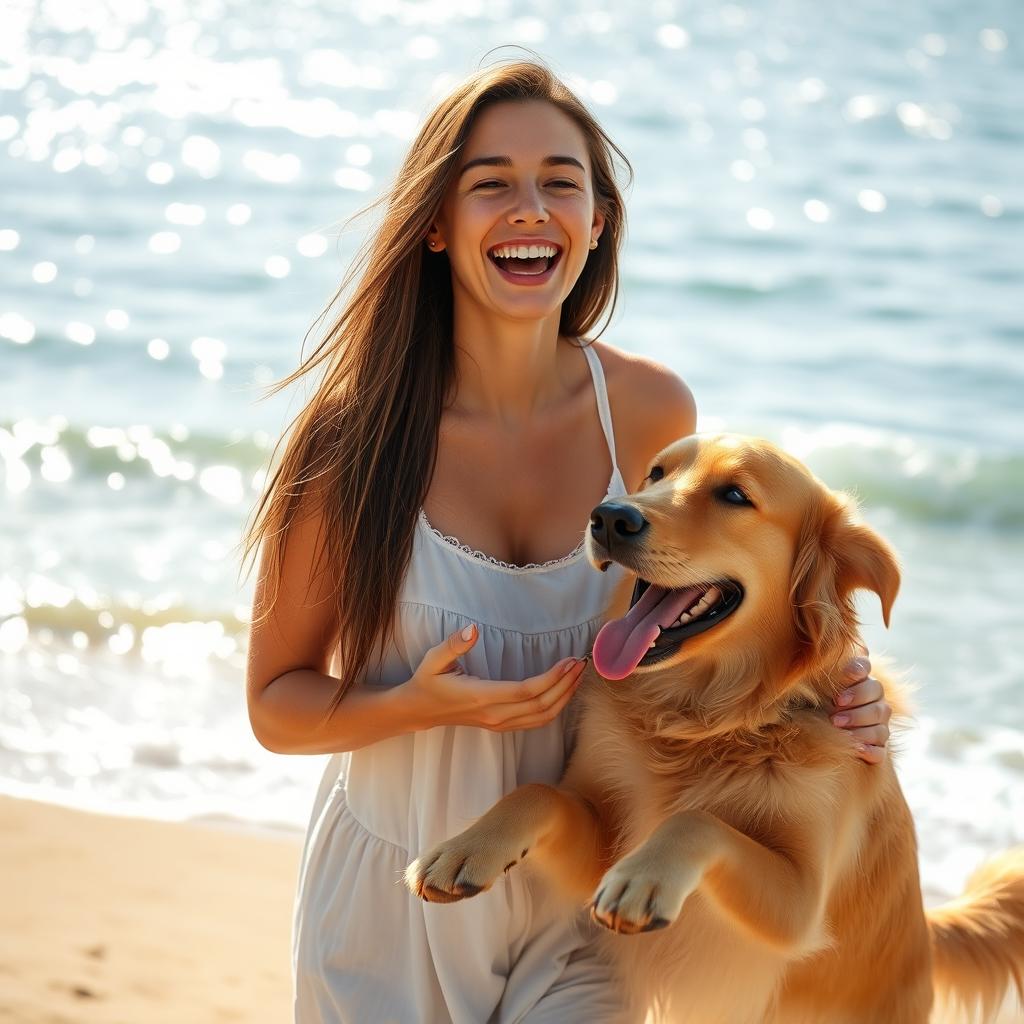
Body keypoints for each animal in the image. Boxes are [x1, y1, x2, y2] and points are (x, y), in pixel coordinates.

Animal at [403, 434, 1019, 1024]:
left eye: (735, 496)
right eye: (656, 473)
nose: (608, 517)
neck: (709, 718)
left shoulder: (801, 905)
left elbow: (697, 820)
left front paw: (644, 878)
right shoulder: (599, 841)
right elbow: (539, 793)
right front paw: (466, 847)